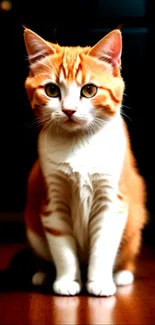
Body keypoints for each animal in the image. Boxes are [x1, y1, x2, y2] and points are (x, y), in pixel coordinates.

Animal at [23, 27, 147, 294]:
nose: (69, 110)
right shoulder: (52, 203)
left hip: (134, 224)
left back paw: (122, 275)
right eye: (52, 90)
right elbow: (63, 251)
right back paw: (42, 273)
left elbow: (103, 249)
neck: (79, 143)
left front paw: (99, 283)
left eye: (89, 90)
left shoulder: (112, 201)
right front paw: (67, 281)